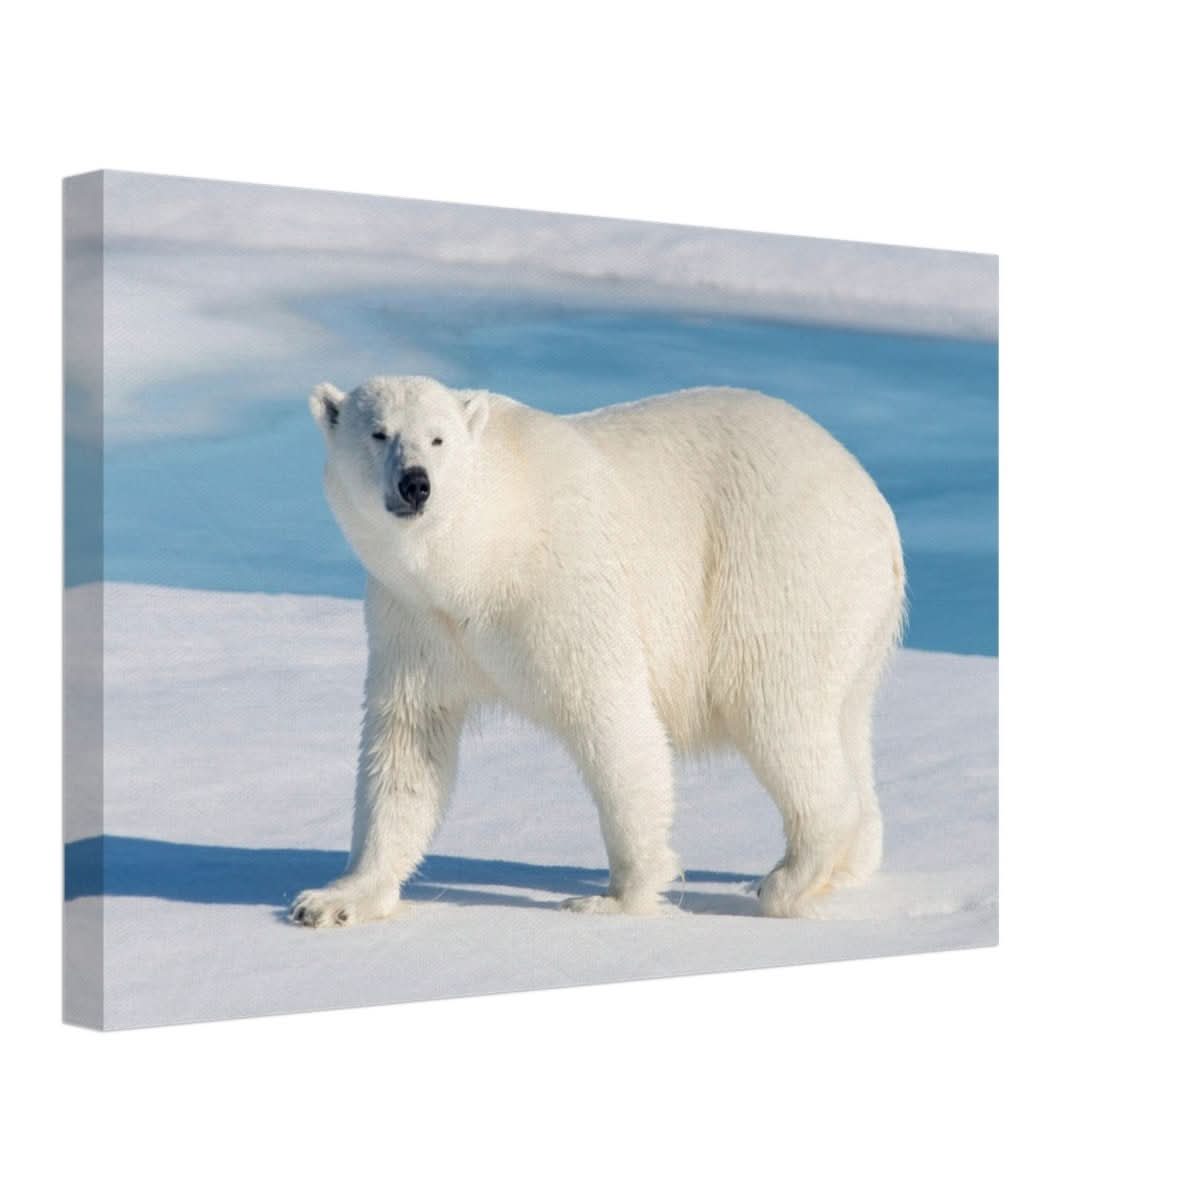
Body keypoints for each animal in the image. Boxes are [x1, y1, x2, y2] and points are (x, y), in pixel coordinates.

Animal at [290, 375, 905, 927]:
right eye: (379, 433)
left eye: (438, 438)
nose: (415, 483)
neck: (483, 553)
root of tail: (876, 505)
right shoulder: (415, 620)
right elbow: (408, 744)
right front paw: (333, 900)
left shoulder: (561, 584)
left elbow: (612, 720)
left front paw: (615, 898)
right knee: (845, 720)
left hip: (778, 567)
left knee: (775, 710)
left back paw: (789, 879)